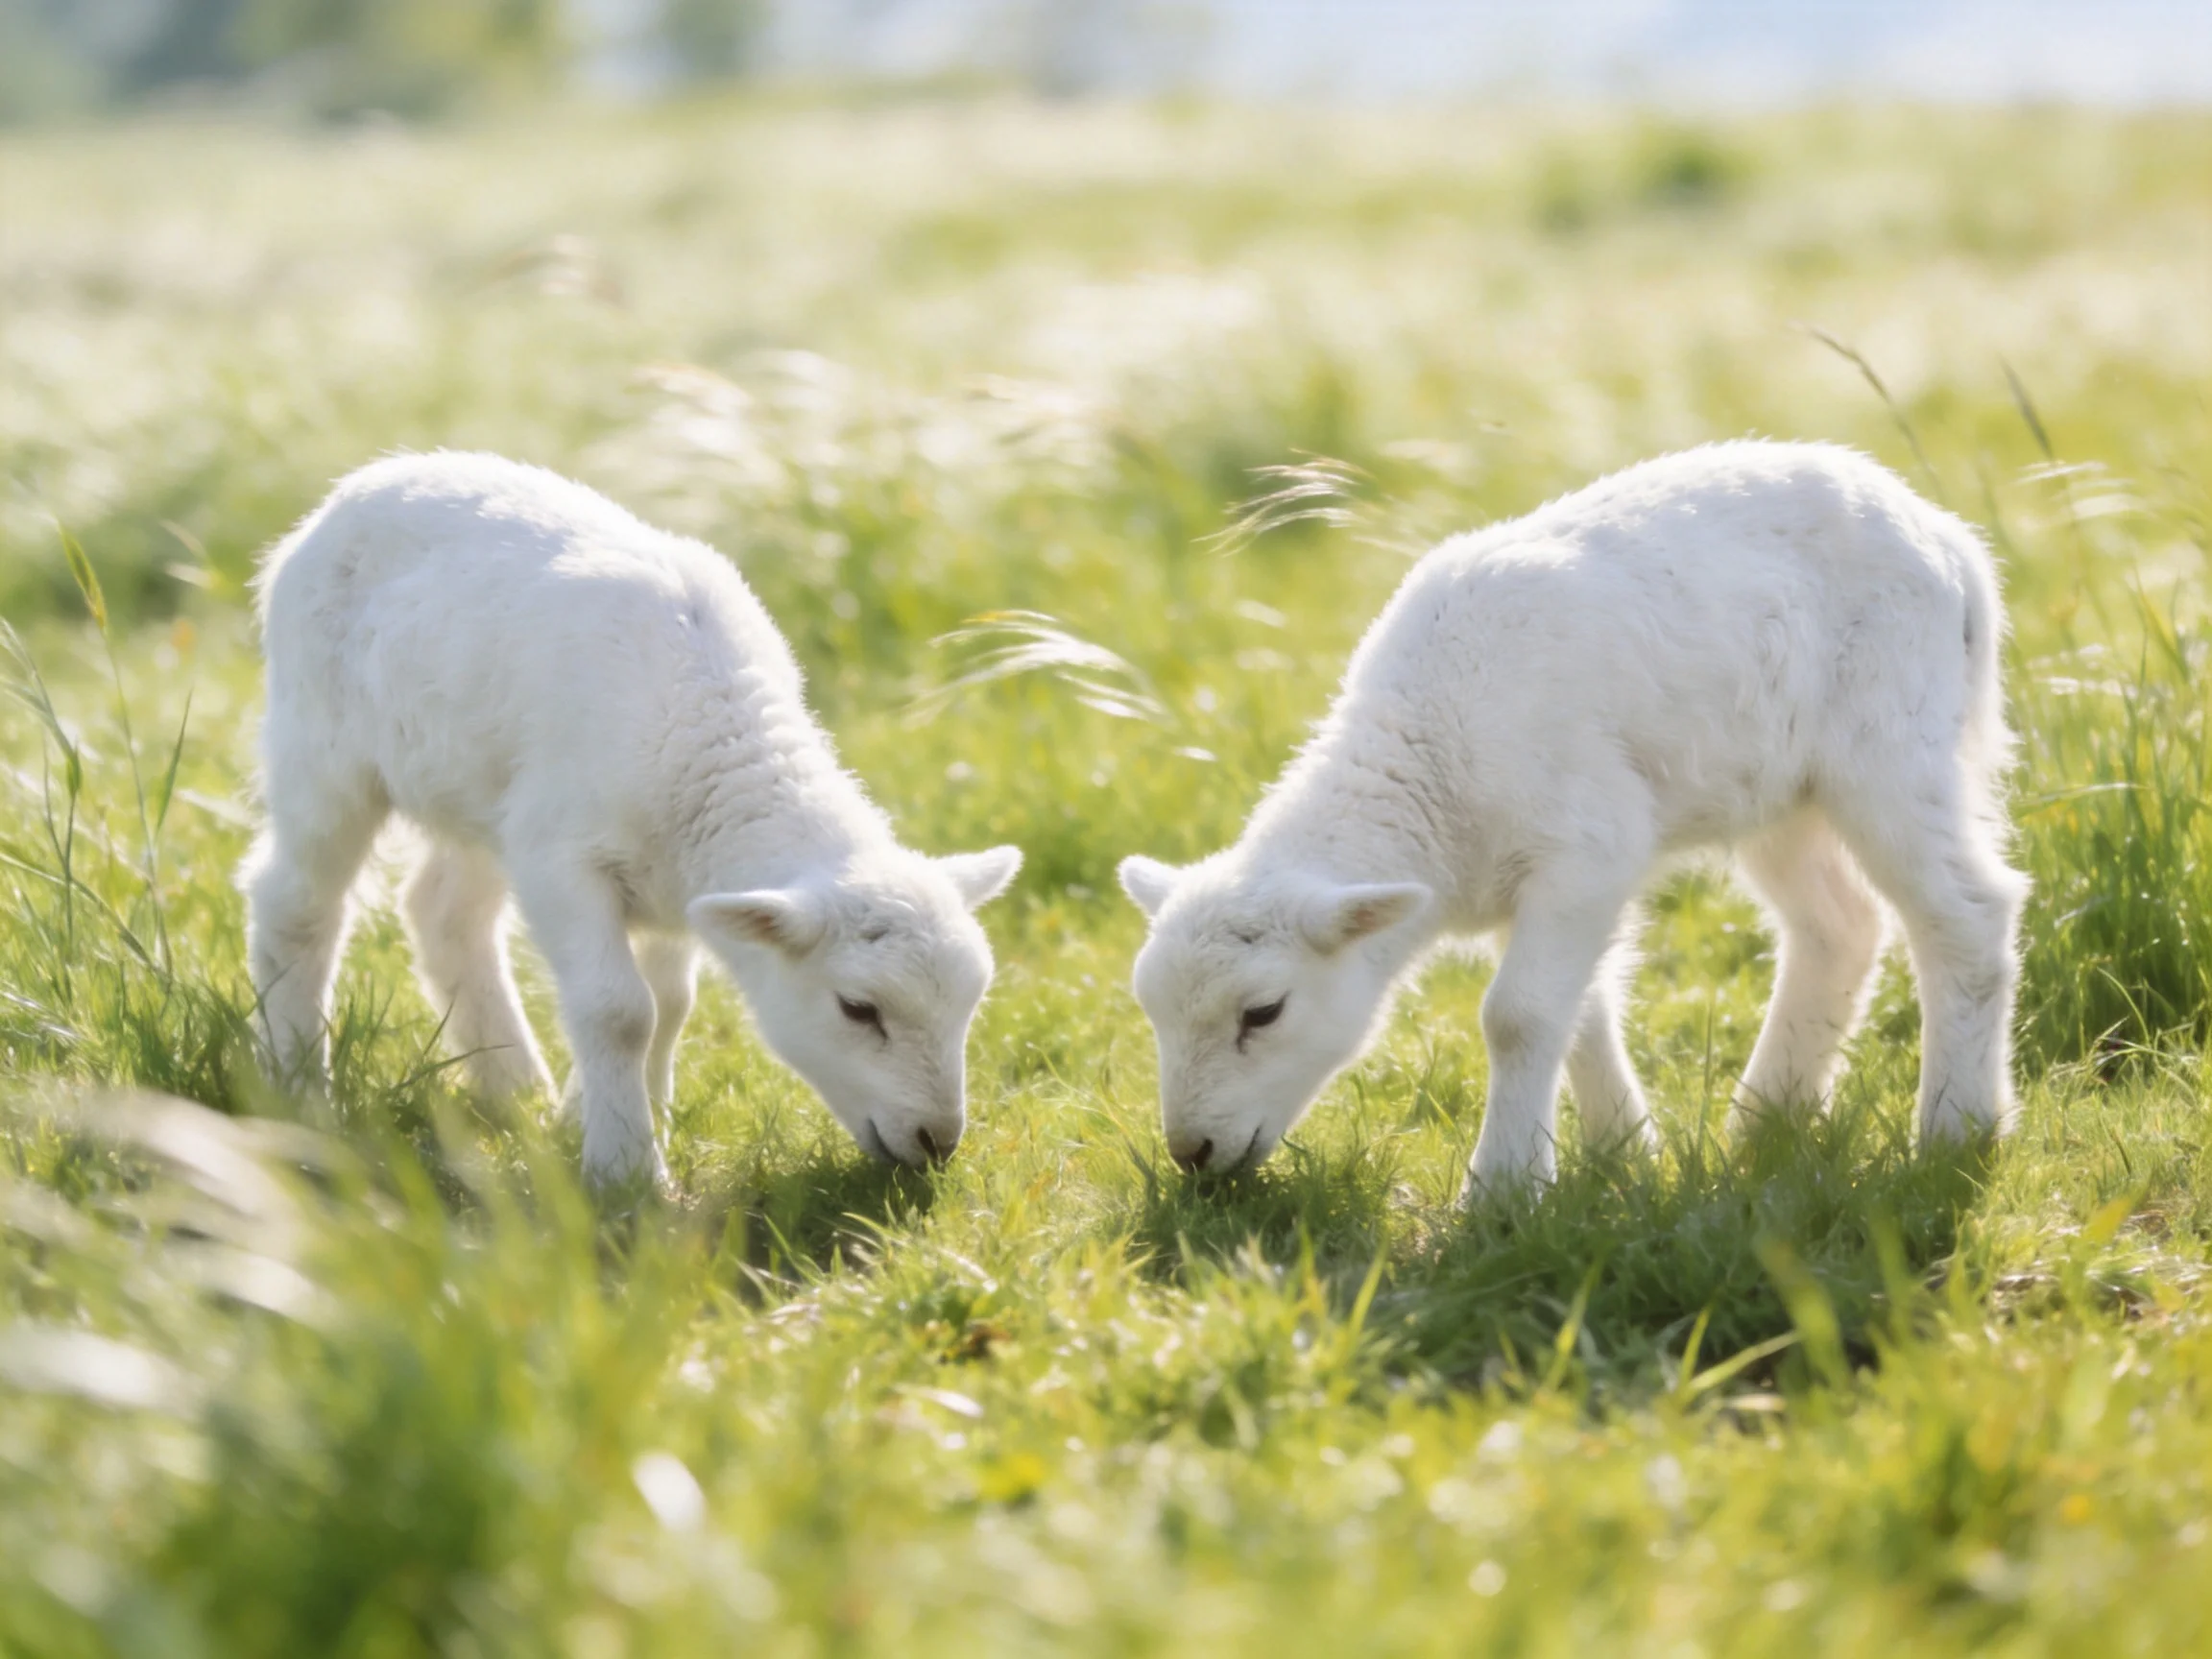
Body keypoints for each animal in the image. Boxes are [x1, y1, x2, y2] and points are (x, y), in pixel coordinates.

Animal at [242, 452, 1021, 1186]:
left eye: (970, 1004)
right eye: (858, 1009)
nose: (936, 1141)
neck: (714, 741)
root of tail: (367, 482)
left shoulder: (673, 885)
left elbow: (669, 1005)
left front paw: (605, 1117)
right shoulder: (561, 856)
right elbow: (620, 1011)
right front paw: (625, 1168)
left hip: (477, 787)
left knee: (443, 913)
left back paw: (514, 1085)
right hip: (324, 744)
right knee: (295, 903)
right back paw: (299, 1088)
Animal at [1119, 441, 2025, 1198]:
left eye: (1262, 1013)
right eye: (1153, 1012)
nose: (1191, 1153)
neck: (1428, 764)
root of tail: (1951, 540)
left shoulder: (1587, 843)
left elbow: (1517, 1016)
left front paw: (1504, 1188)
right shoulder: (1536, 878)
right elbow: (1575, 1008)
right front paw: (1622, 1153)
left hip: (1890, 742)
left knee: (1966, 913)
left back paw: (1957, 1128)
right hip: (1778, 791)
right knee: (1839, 925)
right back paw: (1769, 1119)